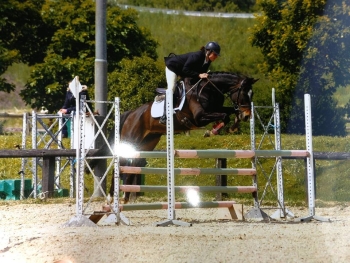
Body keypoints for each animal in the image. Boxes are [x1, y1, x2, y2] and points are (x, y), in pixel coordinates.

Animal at [87, 72, 258, 204]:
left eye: (252, 94)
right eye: (244, 94)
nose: (247, 115)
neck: (207, 89)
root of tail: (130, 113)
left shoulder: (215, 109)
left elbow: (227, 113)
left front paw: (232, 125)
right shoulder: (199, 117)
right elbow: (223, 115)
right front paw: (211, 131)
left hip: (147, 143)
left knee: (133, 165)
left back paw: (126, 197)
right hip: (131, 139)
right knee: (122, 162)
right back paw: (111, 197)